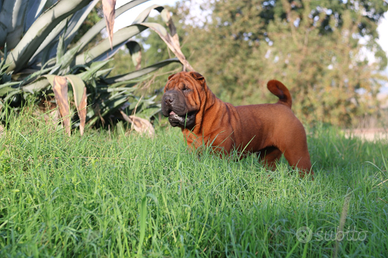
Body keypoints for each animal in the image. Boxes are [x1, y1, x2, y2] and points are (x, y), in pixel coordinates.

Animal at [162, 70, 314, 176]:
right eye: (166, 89)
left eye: (185, 89)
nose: (167, 98)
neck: (197, 127)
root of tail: (283, 105)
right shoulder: (194, 152)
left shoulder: (221, 154)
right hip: (268, 156)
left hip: (297, 153)